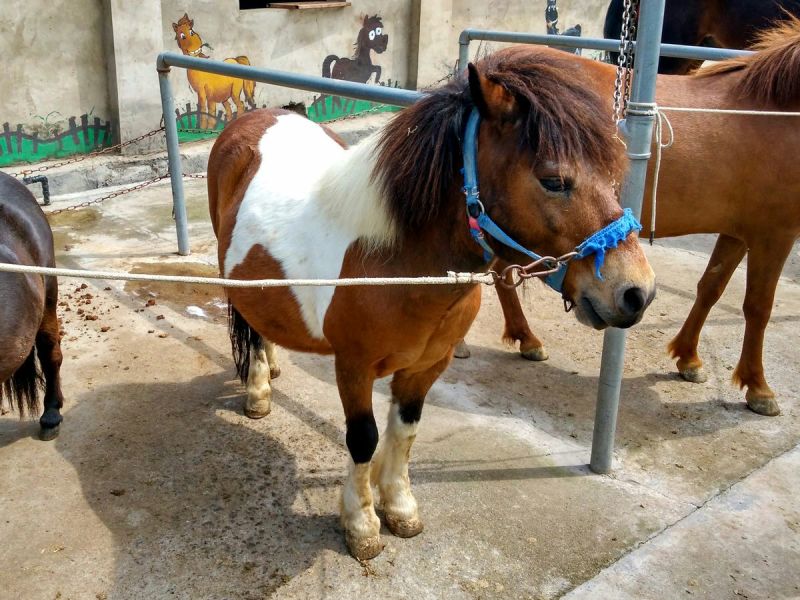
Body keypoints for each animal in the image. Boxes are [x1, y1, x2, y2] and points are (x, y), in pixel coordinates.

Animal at [207, 46, 655, 560]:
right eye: (554, 180)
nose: (637, 292)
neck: (395, 262)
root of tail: (252, 119)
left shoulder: (427, 366)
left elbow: (404, 431)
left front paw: (399, 508)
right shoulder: (353, 366)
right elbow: (364, 438)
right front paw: (361, 525)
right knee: (250, 329)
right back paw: (259, 389)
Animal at [463, 20, 800, 418]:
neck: (777, 115)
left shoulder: (737, 232)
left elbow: (711, 288)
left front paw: (688, 358)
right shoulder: (774, 234)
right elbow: (758, 308)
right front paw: (758, 387)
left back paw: (523, 338)